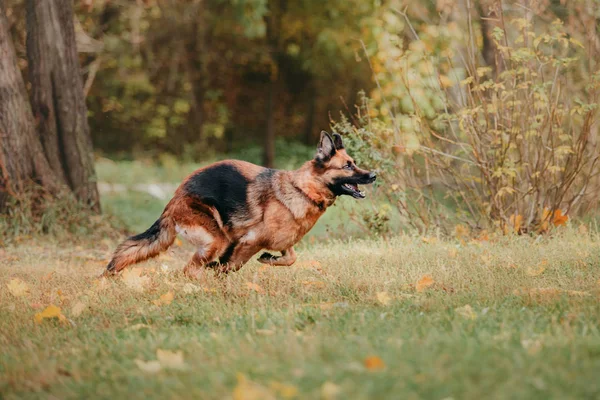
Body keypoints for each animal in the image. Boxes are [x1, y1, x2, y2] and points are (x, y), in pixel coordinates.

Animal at [103, 132, 376, 278]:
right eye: (348, 166)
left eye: (354, 162)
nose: (373, 175)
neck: (303, 190)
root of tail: (174, 199)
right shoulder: (249, 240)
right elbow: (233, 264)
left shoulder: (282, 242)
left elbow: (291, 258)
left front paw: (268, 259)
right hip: (215, 240)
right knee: (190, 269)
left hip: (220, 239)